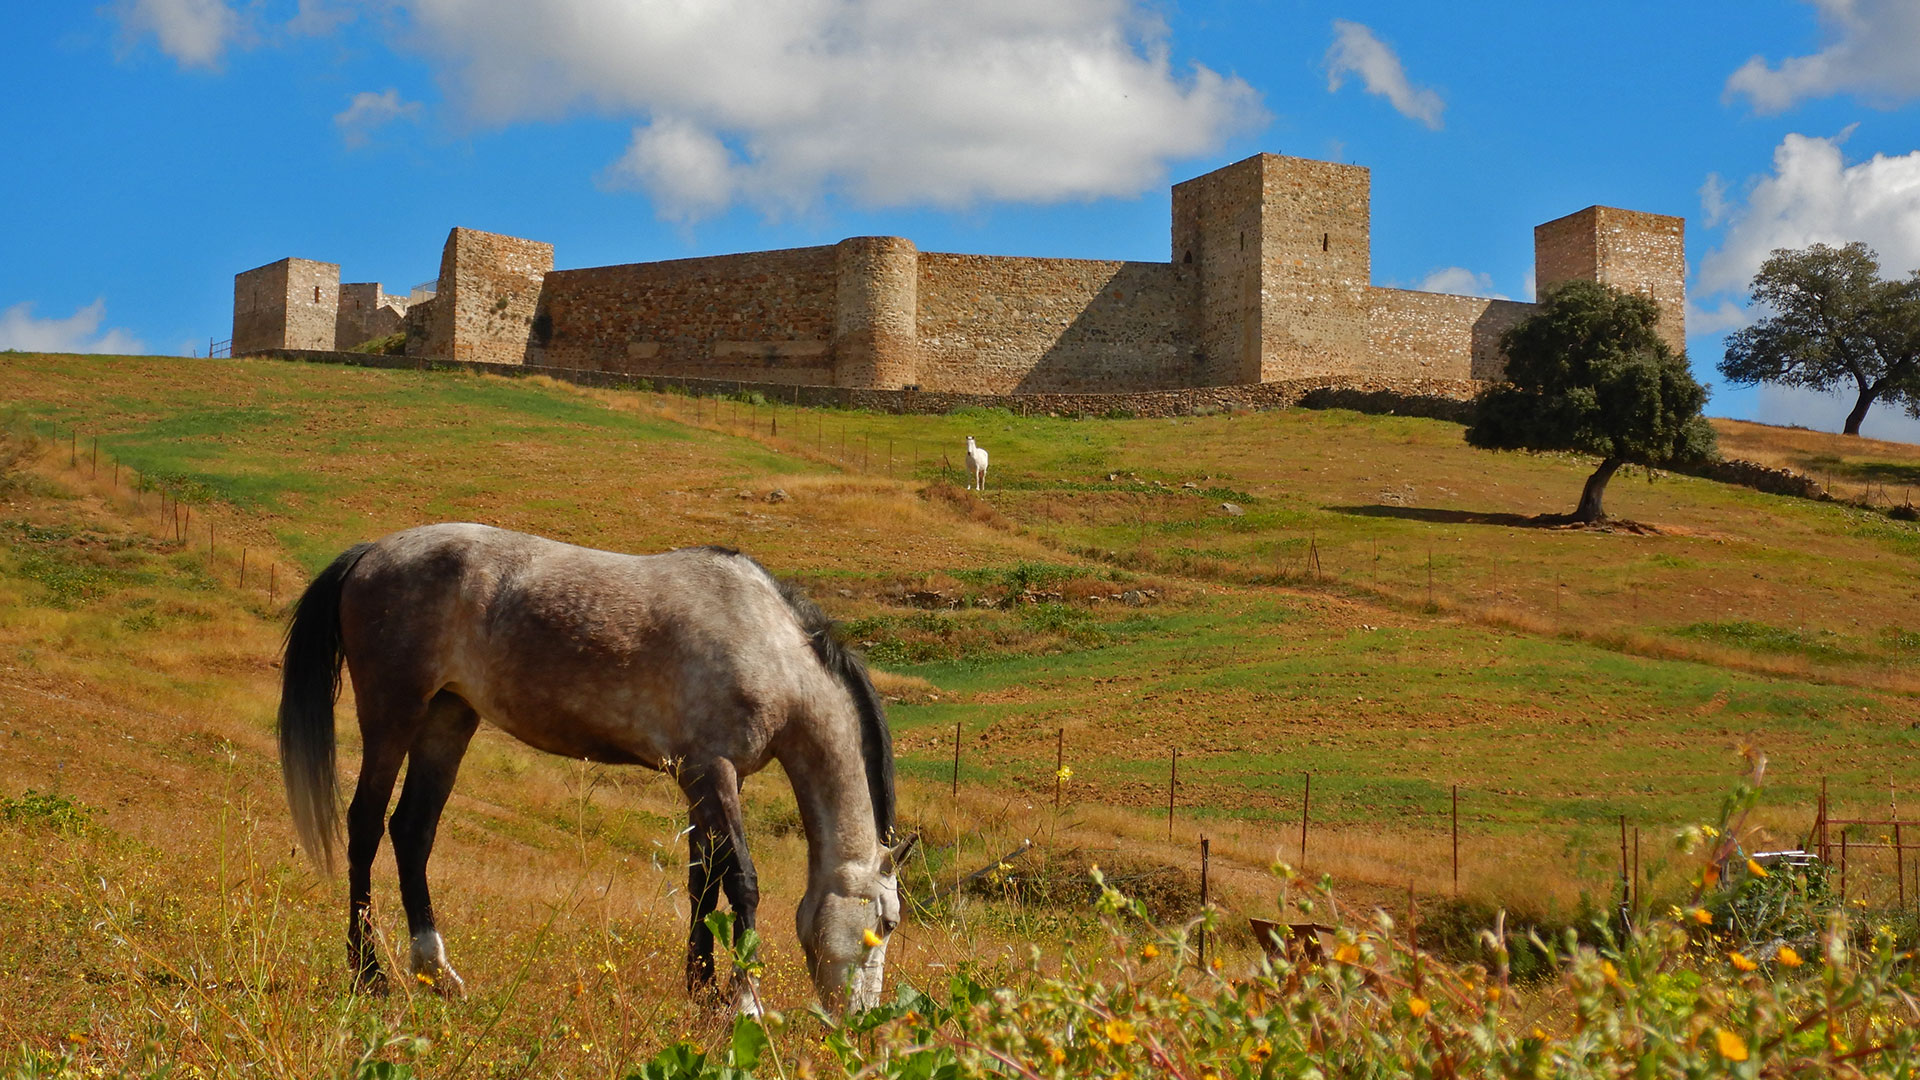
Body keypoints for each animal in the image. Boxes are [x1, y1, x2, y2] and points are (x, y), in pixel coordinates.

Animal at [272, 522, 921, 1006]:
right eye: (886, 923)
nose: (862, 1017)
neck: (769, 647)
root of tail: (370, 554)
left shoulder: (700, 780)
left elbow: (702, 880)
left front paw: (702, 991)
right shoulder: (714, 771)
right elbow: (741, 881)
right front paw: (743, 1001)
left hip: (447, 719)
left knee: (412, 831)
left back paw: (438, 975)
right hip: (393, 714)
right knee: (364, 827)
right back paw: (369, 975)